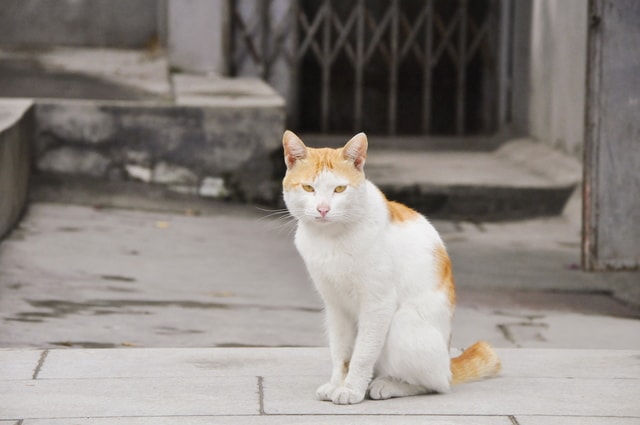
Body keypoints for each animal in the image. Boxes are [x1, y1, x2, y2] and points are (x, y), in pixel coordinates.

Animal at [282, 130, 502, 404]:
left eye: (339, 189)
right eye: (308, 188)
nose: (323, 209)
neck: (330, 239)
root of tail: (449, 365)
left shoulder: (378, 303)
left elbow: (363, 353)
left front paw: (351, 390)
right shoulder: (335, 306)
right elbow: (341, 353)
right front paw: (337, 384)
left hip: (403, 325)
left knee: (434, 384)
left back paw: (388, 384)